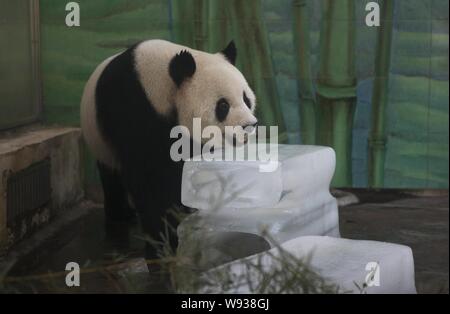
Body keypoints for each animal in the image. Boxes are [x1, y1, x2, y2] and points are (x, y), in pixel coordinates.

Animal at [80, 39, 256, 260]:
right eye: (223, 105)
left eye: (246, 99)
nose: (250, 125)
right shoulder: (131, 111)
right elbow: (150, 181)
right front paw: (163, 240)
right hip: (101, 142)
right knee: (111, 176)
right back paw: (121, 216)